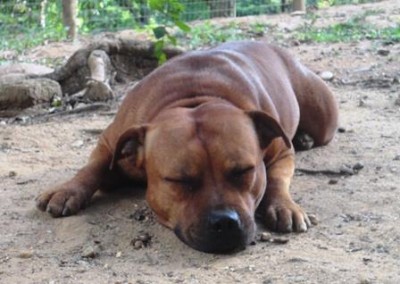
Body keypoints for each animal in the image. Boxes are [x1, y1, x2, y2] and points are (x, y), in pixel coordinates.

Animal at [36, 40, 338, 253]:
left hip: (323, 117)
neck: (193, 99)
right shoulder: (111, 142)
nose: (225, 221)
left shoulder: (281, 152)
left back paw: (304, 138)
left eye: (244, 171)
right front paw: (67, 190)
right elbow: (93, 167)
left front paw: (284, 206)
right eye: (179, 181)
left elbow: (277, 178)